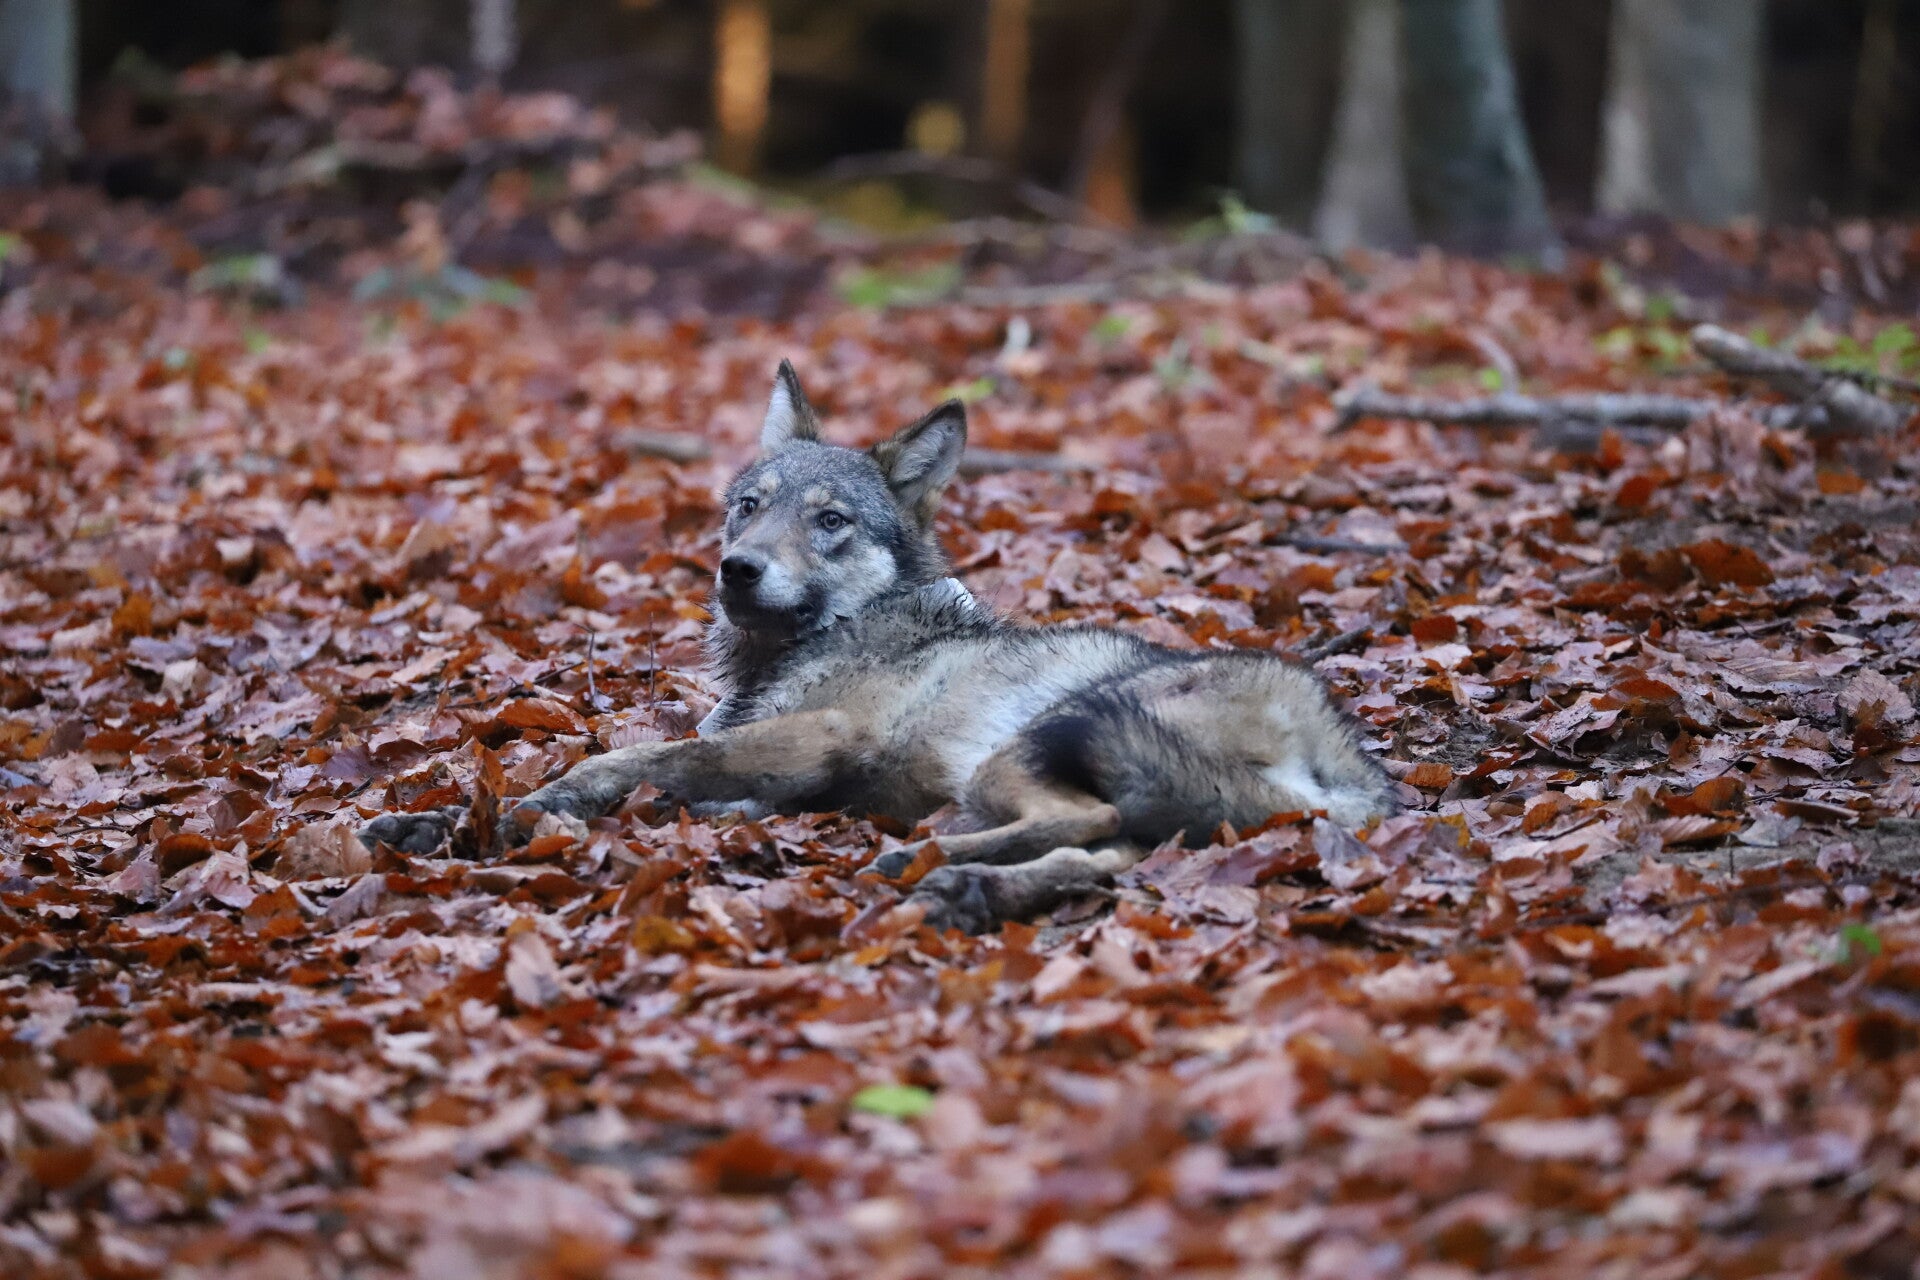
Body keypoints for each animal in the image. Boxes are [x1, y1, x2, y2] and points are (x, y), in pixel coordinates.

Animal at [361, 363, 1395, 932]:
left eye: (830, 522)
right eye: (749, 506)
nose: (738, 568)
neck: (822, 639)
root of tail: (1348, 757)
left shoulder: (817, 739)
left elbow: (628, 757)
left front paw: (536, 808)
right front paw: (441, 824)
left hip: (1033, 747)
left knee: (1088, 827)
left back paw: (920, 863)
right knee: (1105, 859)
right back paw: (963, 887)